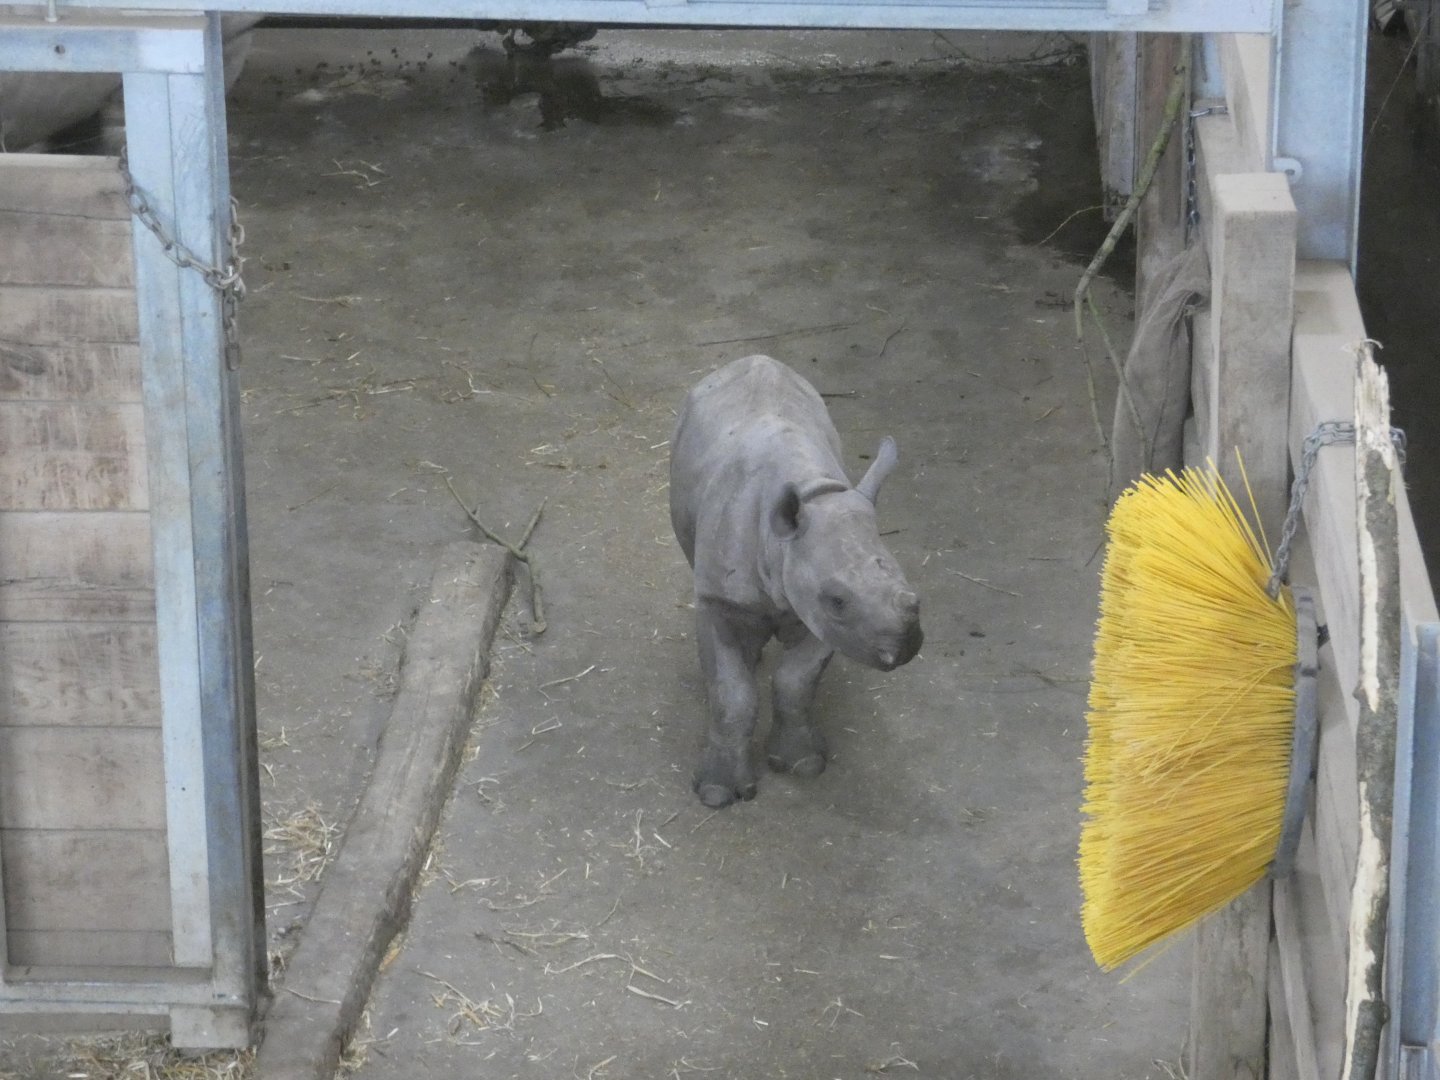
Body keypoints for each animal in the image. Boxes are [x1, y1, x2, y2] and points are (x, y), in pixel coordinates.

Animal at [670, 355, 924, 807]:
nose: (905, 647)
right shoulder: (723, 600)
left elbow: (796, 681)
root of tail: (751, 360)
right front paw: (717, 793)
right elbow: (732, 693)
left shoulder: (819, 615)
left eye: (909, 588)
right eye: (837, 600)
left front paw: (802, 765)